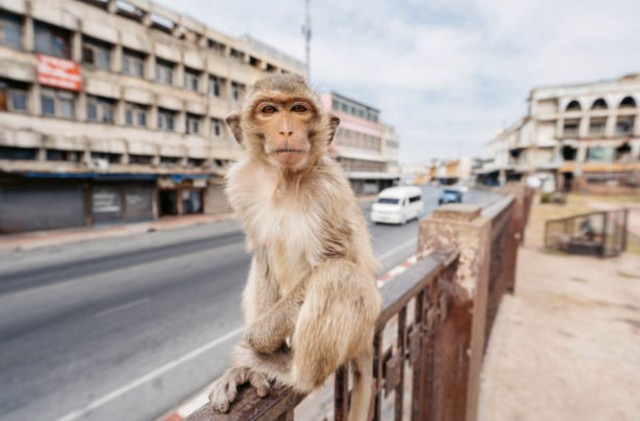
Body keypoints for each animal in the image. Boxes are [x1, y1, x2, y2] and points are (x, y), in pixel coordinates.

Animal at [209, 74, 380, 418]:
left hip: (363, 321)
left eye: (299, 109)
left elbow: (334, 259)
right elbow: (262, 256)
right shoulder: (241, 184)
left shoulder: (327, 191)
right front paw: (251, 362)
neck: (285, 180)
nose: (287, 130)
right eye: (268, 110)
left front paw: (255, 339)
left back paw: (290, 371)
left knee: (338, 275)